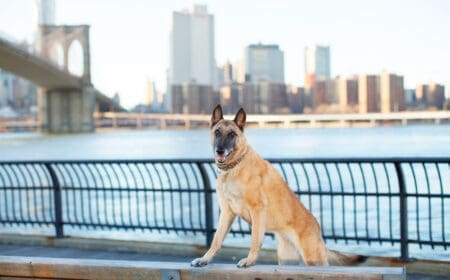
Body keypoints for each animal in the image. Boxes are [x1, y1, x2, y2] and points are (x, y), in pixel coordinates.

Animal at [191, 105, 366, 270]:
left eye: (232, 134)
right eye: (217, 132)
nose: (220, 150)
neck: (235, 166)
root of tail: (317, 227)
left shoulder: (257, 209)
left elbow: (255, 240)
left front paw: (249, 261)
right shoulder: (227, 212)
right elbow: (216, 240)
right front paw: (205, 259)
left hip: (314, 259)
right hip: (287, 259)